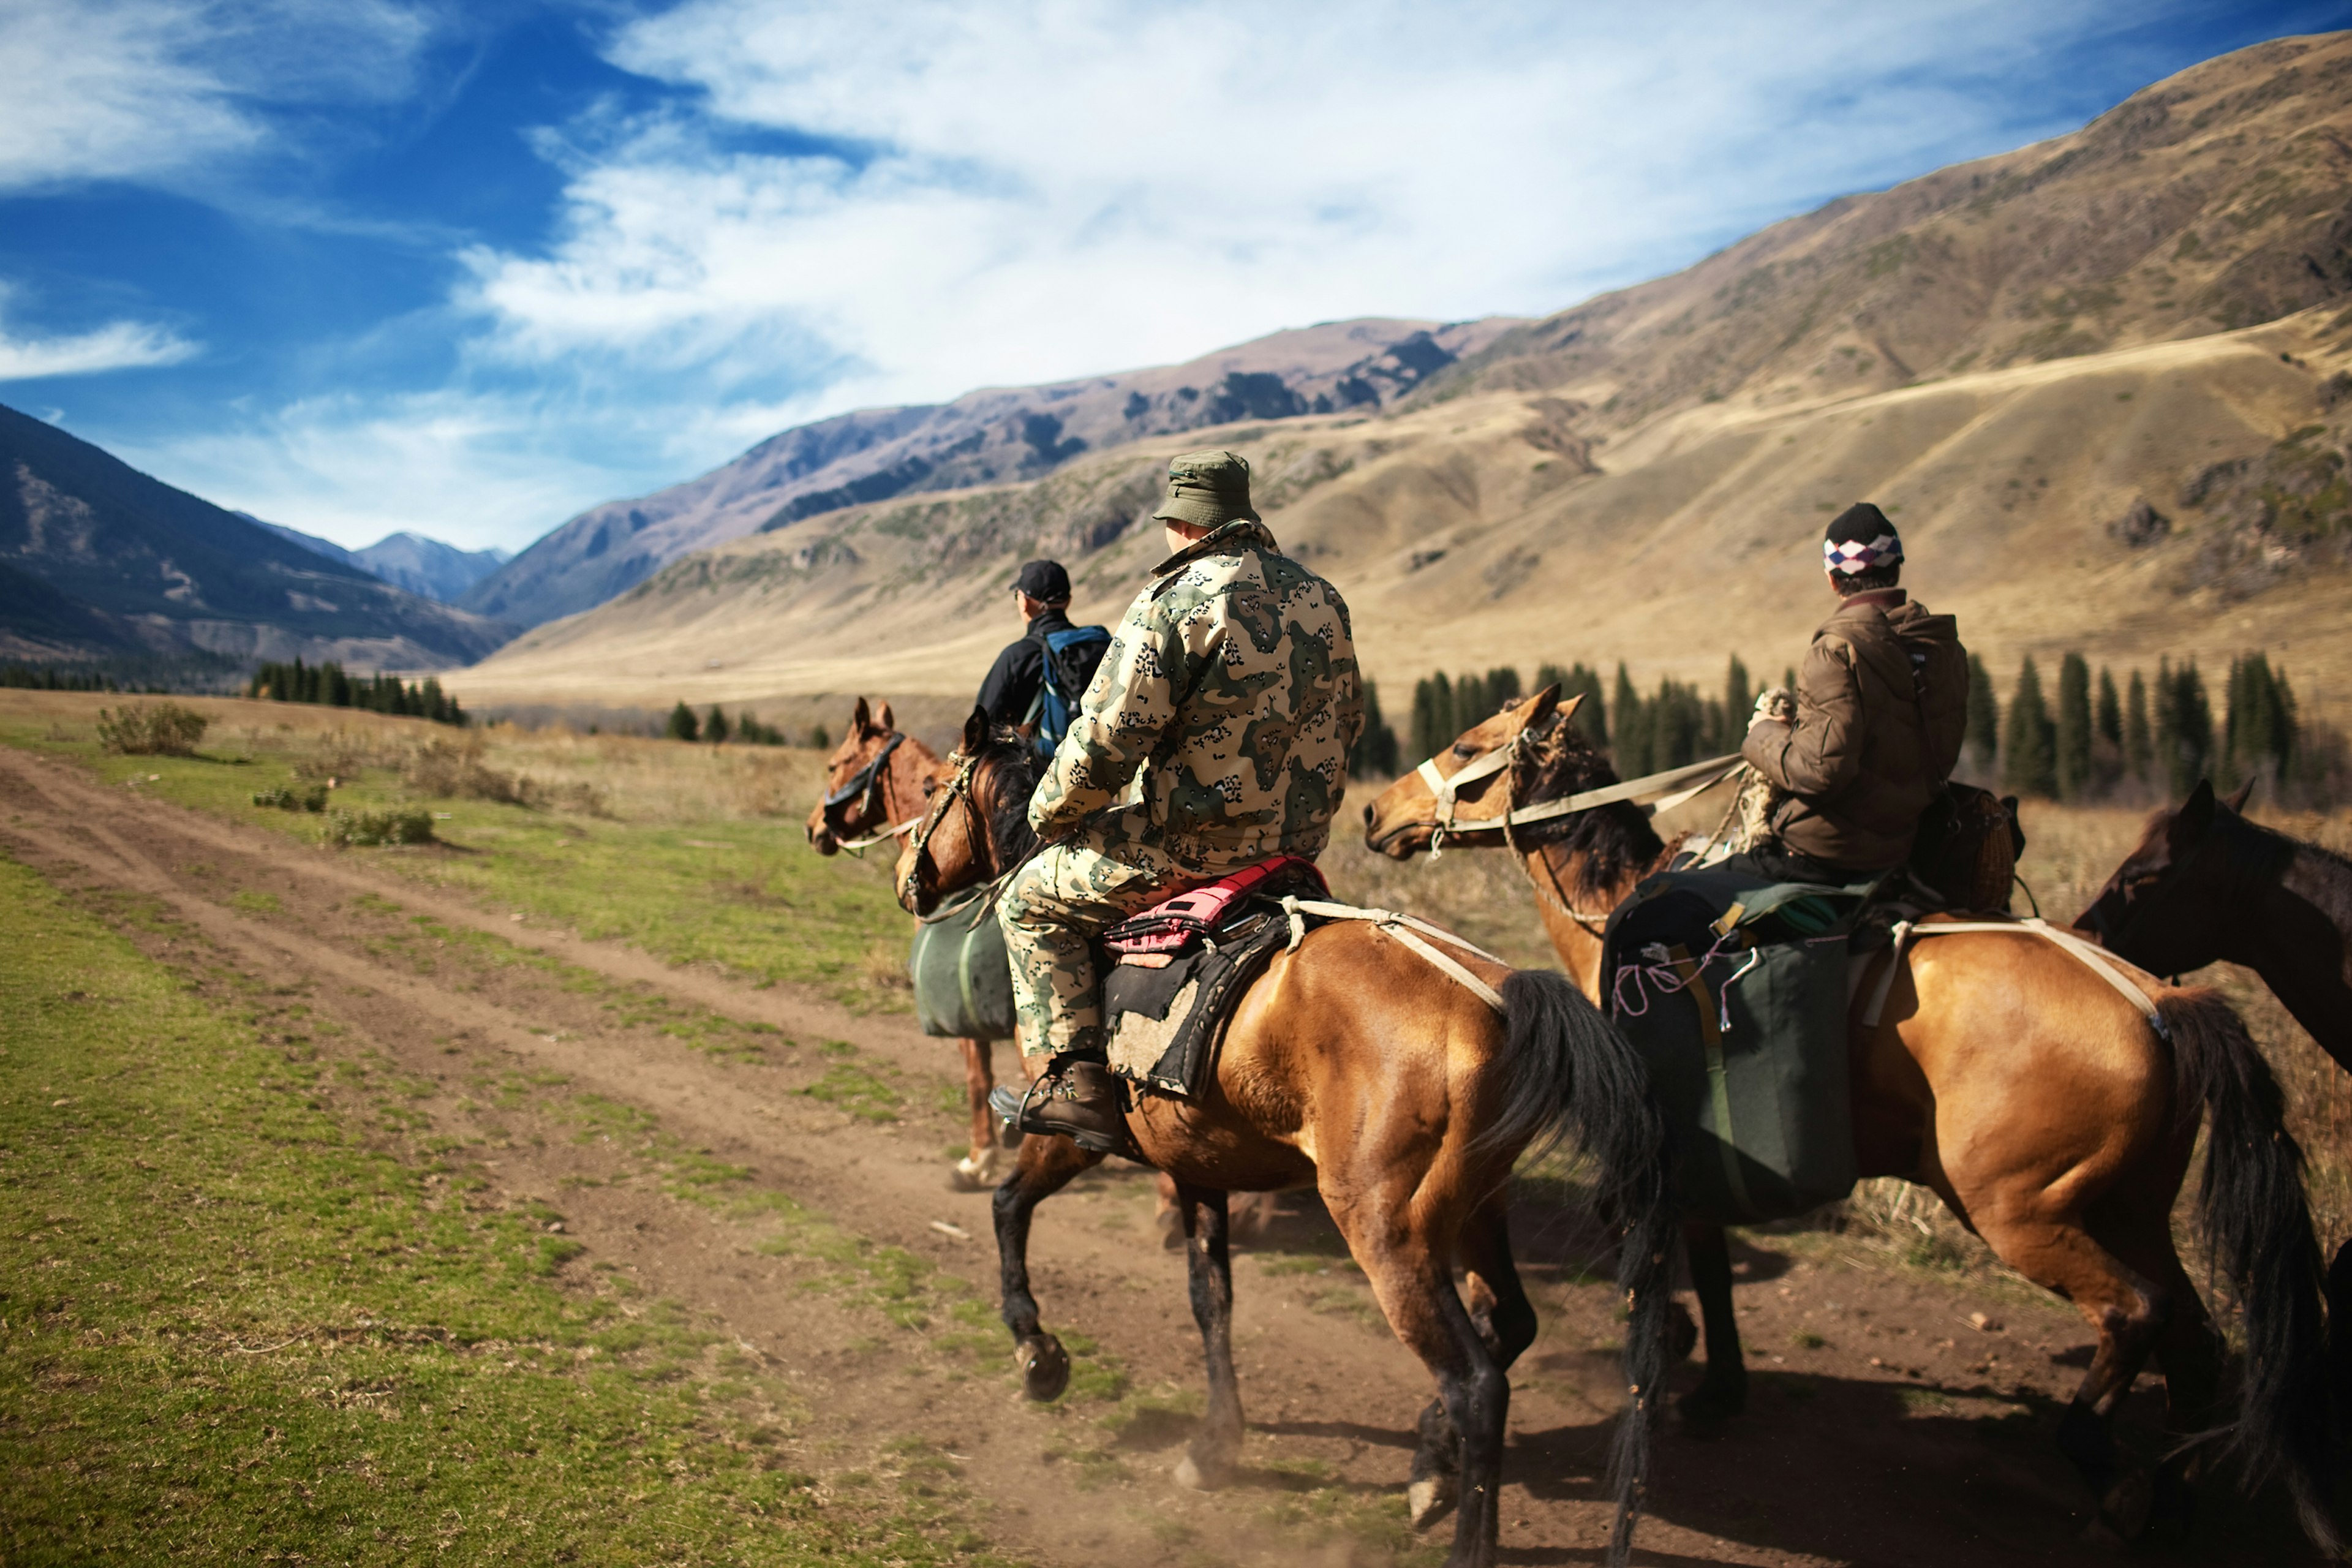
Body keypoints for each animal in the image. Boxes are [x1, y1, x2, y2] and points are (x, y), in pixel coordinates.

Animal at [889, 714, 1684, 1568]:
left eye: (935, 788)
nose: (907, 876)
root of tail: (1505, 1001)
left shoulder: (1073, 1133)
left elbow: (1008, 1207)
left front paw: (1037, 1352)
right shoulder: (1195, 1163)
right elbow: (1211, 1297)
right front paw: (1215, 1444)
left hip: (1389, 1232)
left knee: (1477, 1385)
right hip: (1475, 1208)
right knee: (1512, 1326)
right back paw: (1429, 1466)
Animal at [1373, 691, 2342, 1561]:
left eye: (1468, 746)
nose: (1380, 812)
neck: (1618, 905)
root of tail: (2165, 1003)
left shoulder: (1658, 1143)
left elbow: (1660, 1251)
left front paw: (1674, 1347)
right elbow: (1713, 1265)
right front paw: (1718, 1386)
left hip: (2022, 1212)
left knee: (2134, 1313)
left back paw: (2109, 1483)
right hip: (2130, 1207)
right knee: (2198, 1344)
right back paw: (2170, 1506)